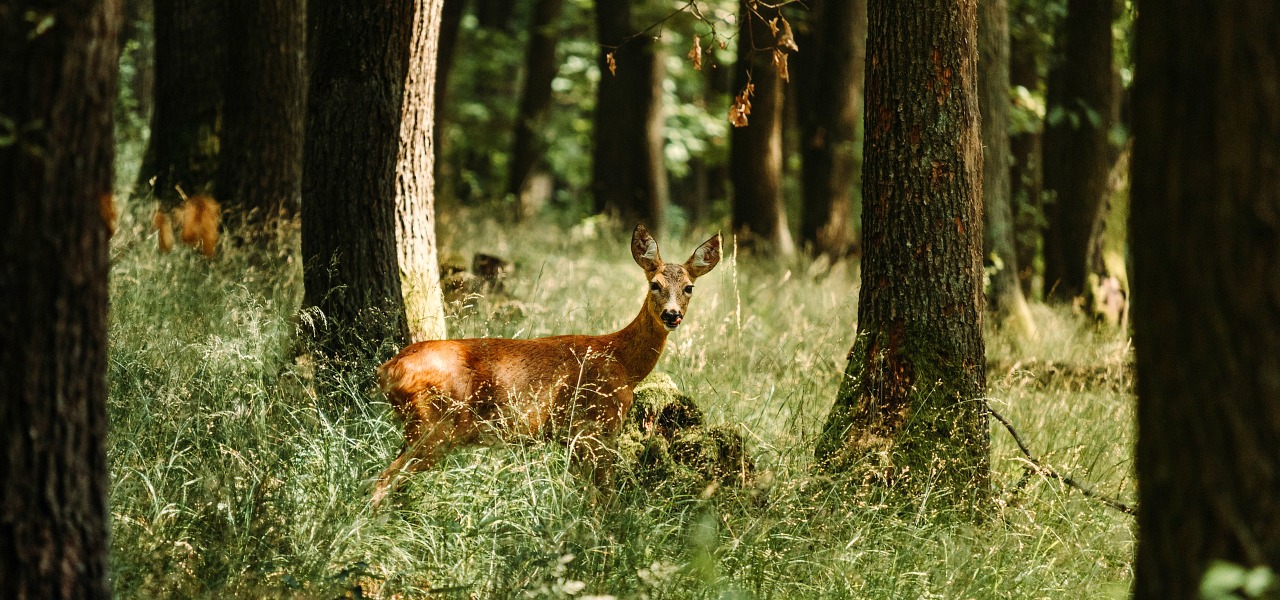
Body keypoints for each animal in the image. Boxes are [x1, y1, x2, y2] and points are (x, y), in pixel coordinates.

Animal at [373, 223, 727, 501]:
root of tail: (388, 370)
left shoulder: (572, 437)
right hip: (435, 425)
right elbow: (605, 497)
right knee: (384, 480)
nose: (672, 314)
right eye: (655, 284)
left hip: (422, 427)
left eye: (688, 287)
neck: (624, 363)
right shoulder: (593, 427)